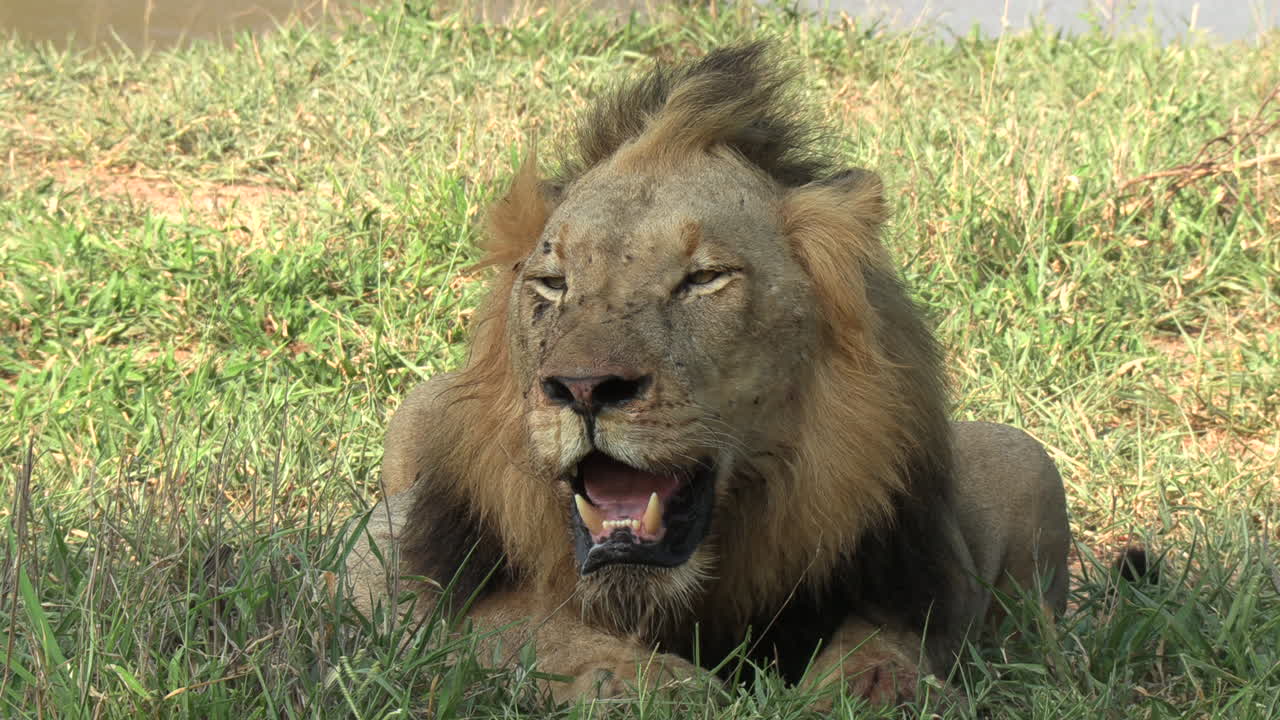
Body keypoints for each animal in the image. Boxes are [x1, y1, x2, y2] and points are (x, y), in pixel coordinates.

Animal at [345, 43, 1073, 706]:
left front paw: (870, 690)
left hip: (1028, 459)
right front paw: (651, 687)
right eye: (552, 283)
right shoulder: (391, 561)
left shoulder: (920, 570)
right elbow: (527, 633)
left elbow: (883, 640)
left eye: (703, 279)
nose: (582, 389)